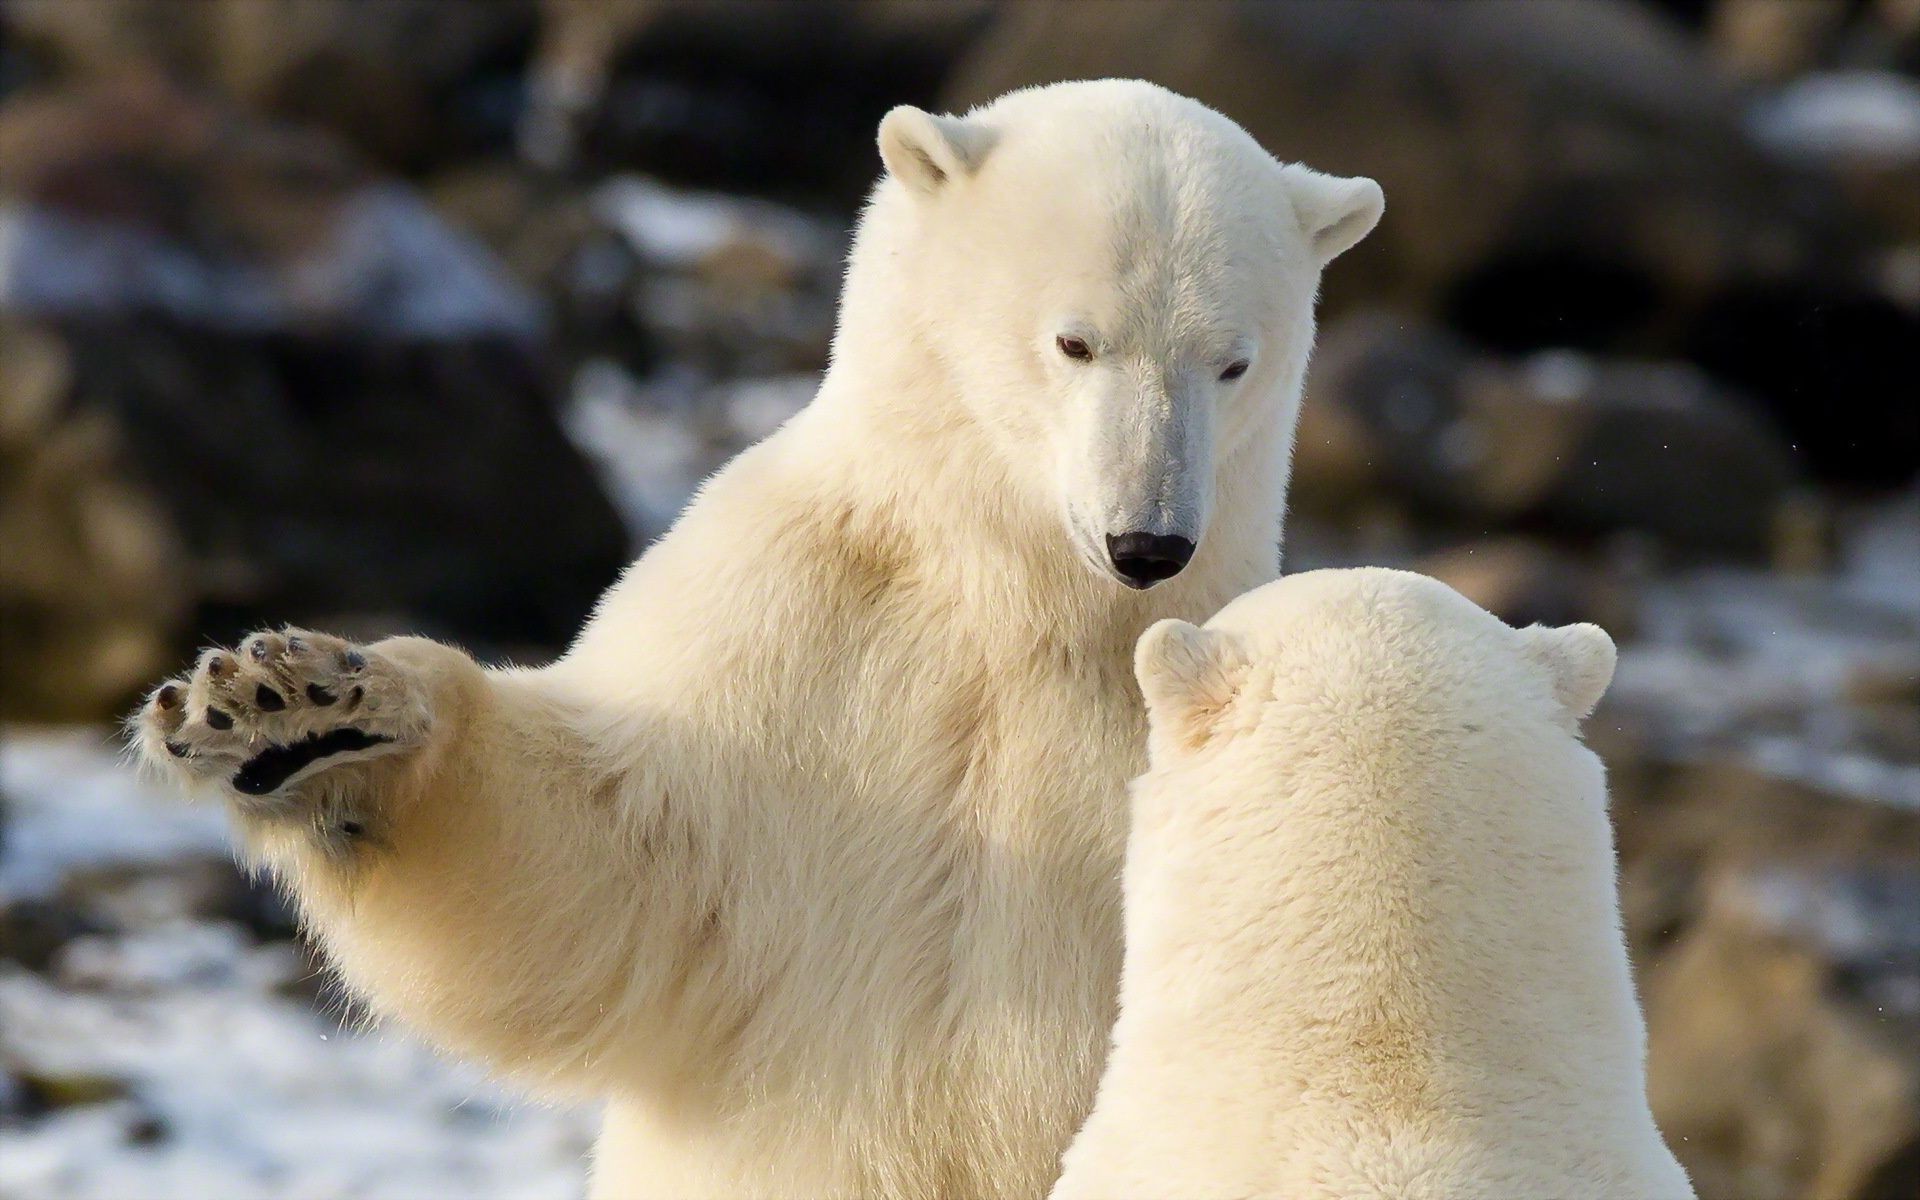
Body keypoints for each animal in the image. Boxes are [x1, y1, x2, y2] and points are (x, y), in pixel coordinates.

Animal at [131, 84, 1382, 1198]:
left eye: (1234, 360)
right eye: (1076, 342)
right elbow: (599, 869)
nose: (1148, 541)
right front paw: (298, 720)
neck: (1022, 597)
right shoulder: (788, 621)